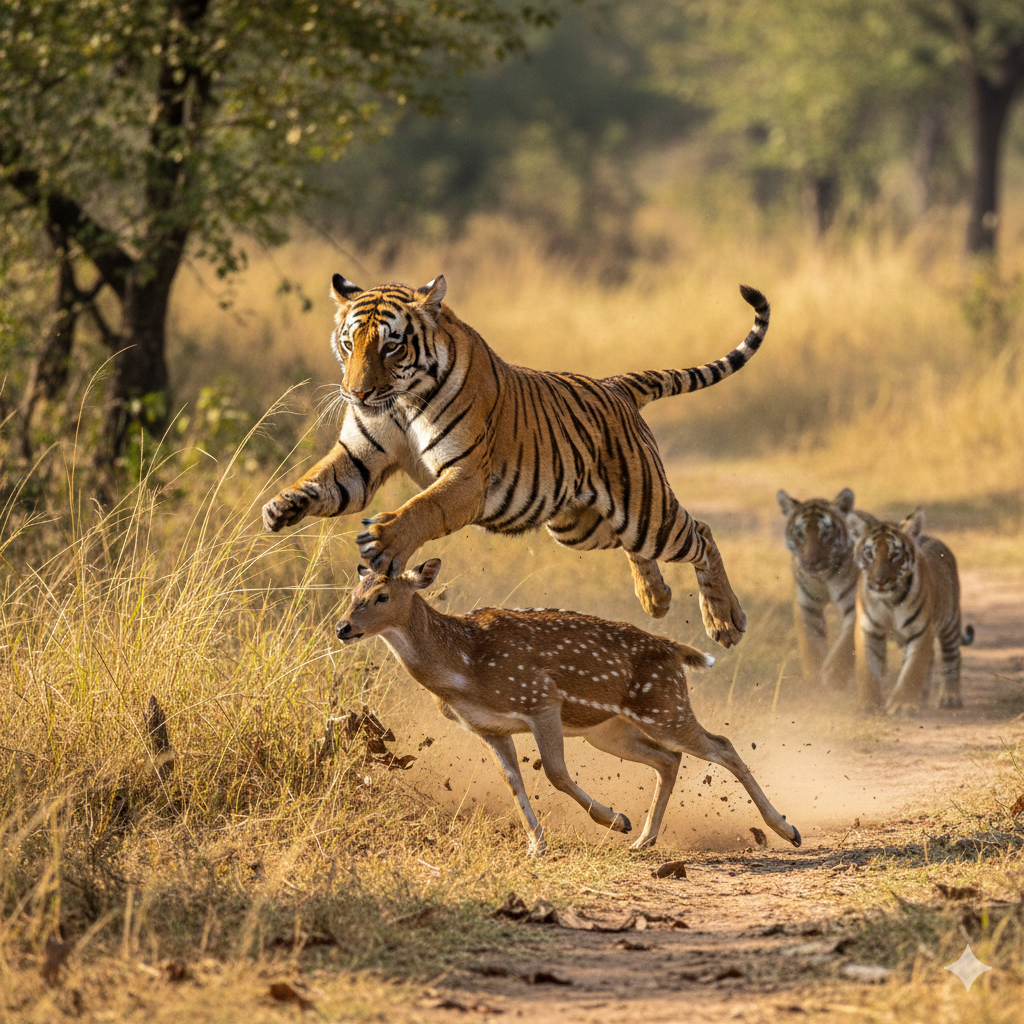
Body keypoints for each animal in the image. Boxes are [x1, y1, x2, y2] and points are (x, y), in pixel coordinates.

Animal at [262, 274, 770, 648]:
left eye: (391, 345)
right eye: (350, 343)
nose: (357, 393)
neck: (401, 403)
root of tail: (616, 385)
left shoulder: (466, 475)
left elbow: (423, 508)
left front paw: (384, 540)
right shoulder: (359, 461)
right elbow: (320, 480)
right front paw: (281, 507)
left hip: (645, 512)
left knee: (700, 533)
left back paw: (725, 620)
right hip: (580, 525)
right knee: (641, 546)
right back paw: (657, 598)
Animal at [776, 487, 873, 689]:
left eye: (826, 534)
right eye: (800, 534)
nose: (811, 562)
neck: (823, 577)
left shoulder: (855, 605)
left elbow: (846, 643)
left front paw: (834, 675)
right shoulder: (807, 605)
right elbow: (811, 642)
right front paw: (813, 677)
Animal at [850, 509, 974, 714]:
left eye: (895, 554)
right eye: (869, 553)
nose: (880, 581)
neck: (889, 601)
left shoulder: (920, 631)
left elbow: (912, 670)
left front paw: (903, 705)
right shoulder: (868, 629)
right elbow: (868, 670)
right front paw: (868, 703)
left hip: (950, 622)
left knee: (952, 657)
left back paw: (950, 697)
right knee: (931, 659)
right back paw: (923, 696)